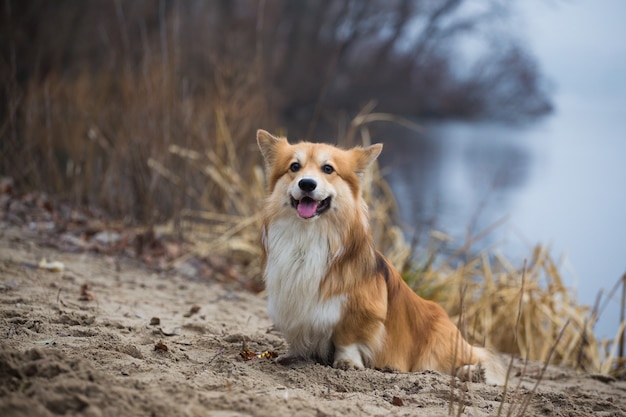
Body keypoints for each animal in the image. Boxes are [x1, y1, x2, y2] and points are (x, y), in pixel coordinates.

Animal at [256, 129, 504, 384]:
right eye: (294, 166)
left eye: (328, 169)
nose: (306, 183)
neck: (307, 235)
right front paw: (293, 355)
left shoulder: (361, 310)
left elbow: (348, 338)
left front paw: (347, 362)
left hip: (437, 343)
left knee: (472, 359)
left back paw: (473, 372)